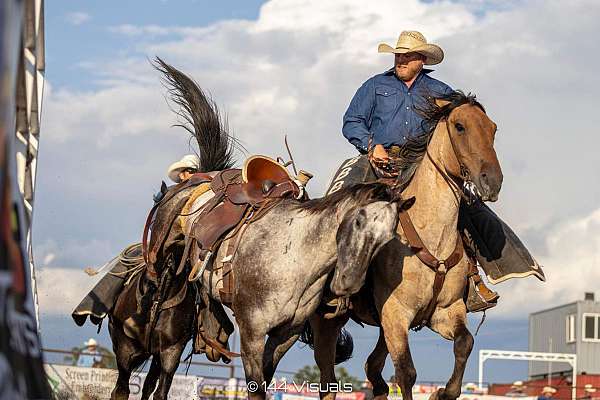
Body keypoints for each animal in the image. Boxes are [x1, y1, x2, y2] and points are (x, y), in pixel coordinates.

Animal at [308, 92, 504, 398]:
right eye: (459, 126)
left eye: (493, 129)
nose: (492, 181)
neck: (431, 235)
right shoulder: (396, 313)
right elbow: (406, 372)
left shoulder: (445, 311)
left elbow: (465, 343)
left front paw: (441, 392)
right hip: (328, 323)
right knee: (328, 378)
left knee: (372, 367)